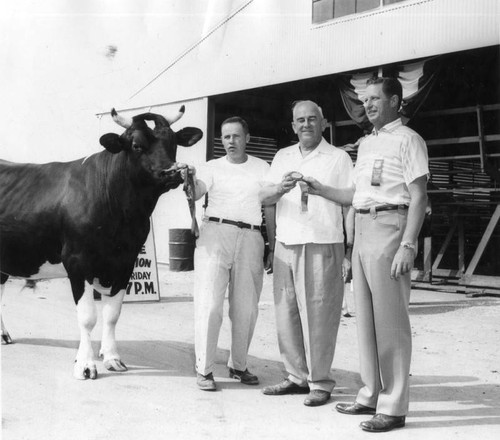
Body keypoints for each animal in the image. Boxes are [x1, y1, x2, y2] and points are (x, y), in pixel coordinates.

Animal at [0, 106, 203, 378]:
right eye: (137, 145)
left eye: (173, 143)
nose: (170, 172)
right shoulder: (77, 262)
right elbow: (87, 317)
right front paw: (86, 364)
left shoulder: (125, 263)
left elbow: (112, 314)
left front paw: (112, 358)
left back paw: (3, 335)